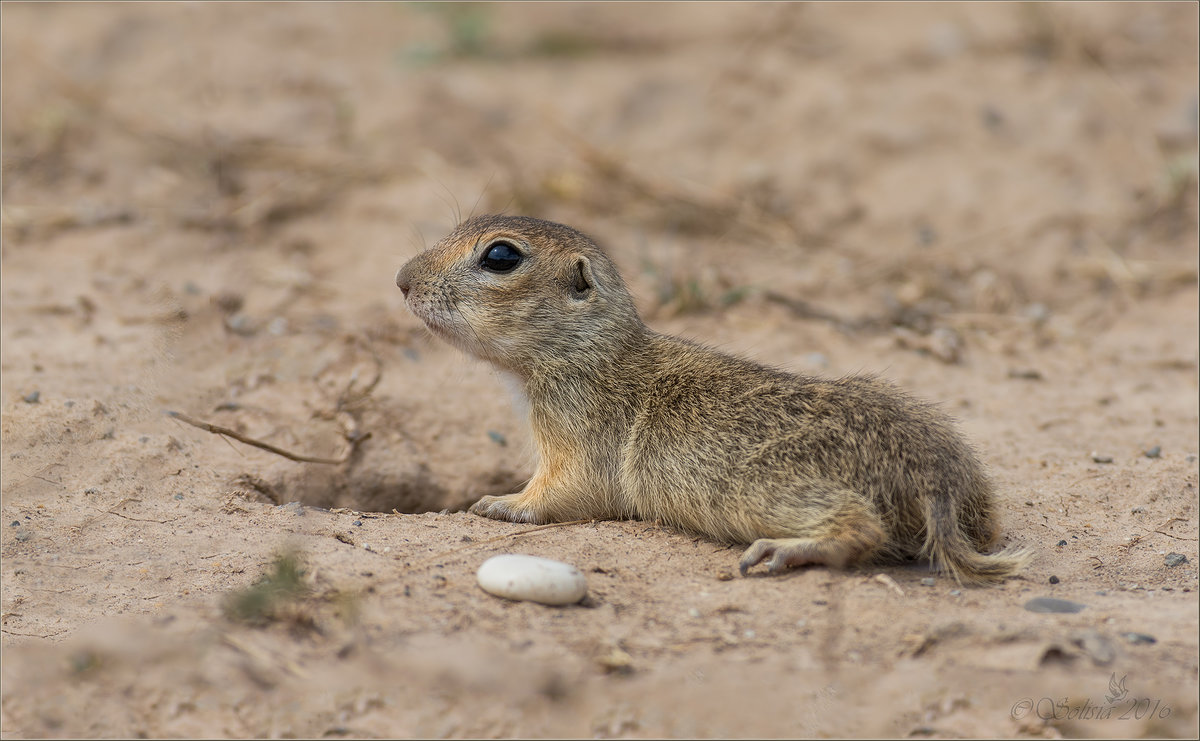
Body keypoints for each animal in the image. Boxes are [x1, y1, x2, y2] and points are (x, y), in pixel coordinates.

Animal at [393, 213, 1032, 582]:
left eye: (500, 255)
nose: (400, 279)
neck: (588, 350)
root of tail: (937, 478)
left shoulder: (574, 437)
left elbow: (561, 494)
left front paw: (498, 502)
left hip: (775, 490)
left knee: (863, 530)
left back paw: (782, 552)